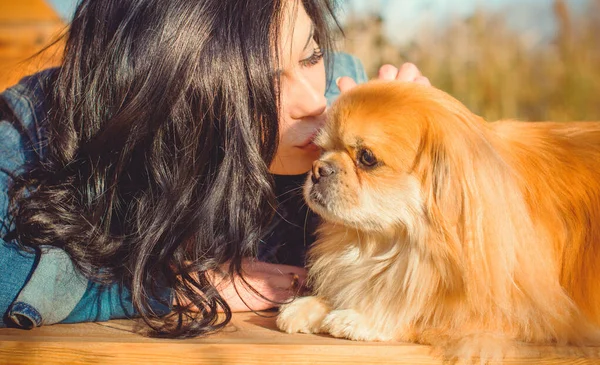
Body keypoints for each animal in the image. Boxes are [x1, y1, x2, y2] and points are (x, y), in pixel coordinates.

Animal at [278, 80, 600, 362]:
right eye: (320, 150)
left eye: (367, 158)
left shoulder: (541, 316)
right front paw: (311, 305)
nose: (319, 169)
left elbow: (428, 311)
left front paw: (363, 316)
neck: (396, 244)